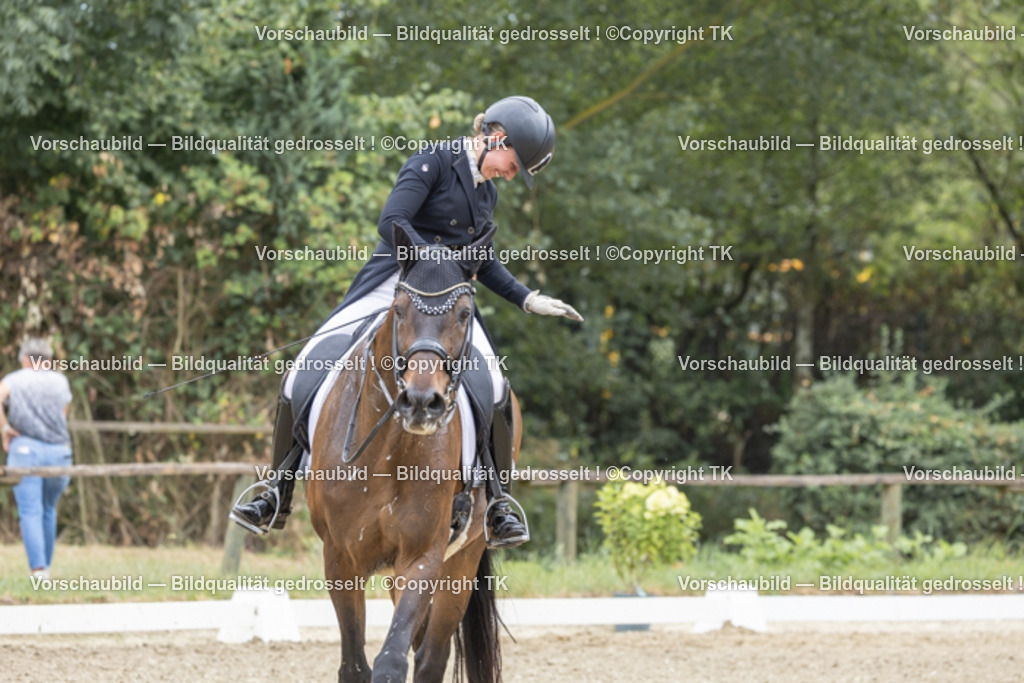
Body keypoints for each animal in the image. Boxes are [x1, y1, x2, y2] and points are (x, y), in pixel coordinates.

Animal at [307, 223, 518, 683]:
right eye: (400, 310)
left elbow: (391, 661)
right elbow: (354, 665)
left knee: (431, 655)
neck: (388, 451)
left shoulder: (423, 557)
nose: (422, 403)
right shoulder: (340, 559)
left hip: (462, 560)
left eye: (464, 314)